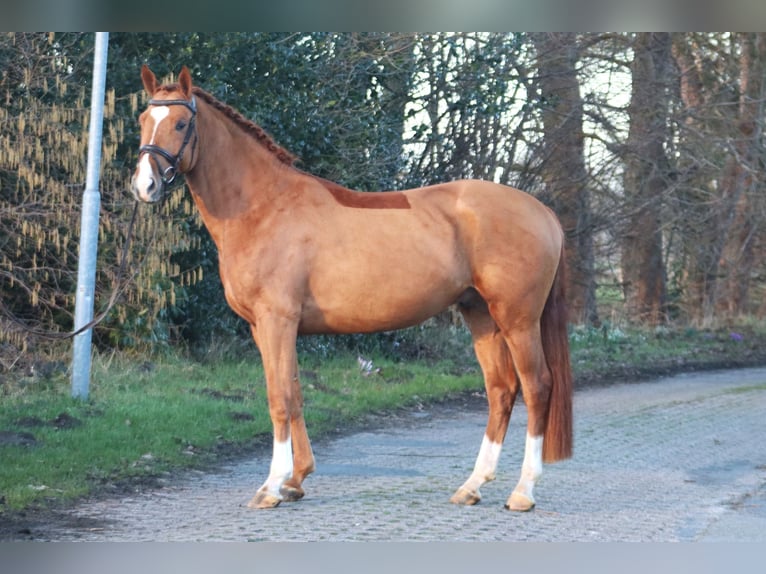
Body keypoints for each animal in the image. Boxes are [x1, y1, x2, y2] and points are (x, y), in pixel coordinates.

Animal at [132, 66, 572, 512]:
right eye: (143, 120)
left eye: (181, 123)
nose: (144, 185)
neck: (263, 207)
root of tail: (542, 210)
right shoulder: (266, 327)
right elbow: (294, 393)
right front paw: (296, 480)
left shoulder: (277, 321)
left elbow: (279, 398)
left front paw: (271, 486)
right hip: (480, 315)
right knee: (501, 390)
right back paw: (472, 485)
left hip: (518, 319)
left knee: (537, 386)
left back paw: (522, 492)